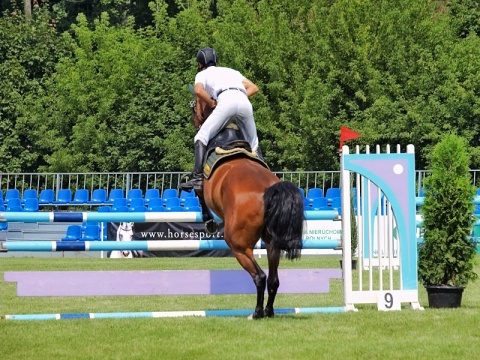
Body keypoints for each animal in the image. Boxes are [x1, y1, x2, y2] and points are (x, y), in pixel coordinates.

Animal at [186, 93, 306, 318]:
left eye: (195, 105)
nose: (195, 121)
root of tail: (269, 190)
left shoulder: (202, 190)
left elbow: (200, 196)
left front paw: (209, 223)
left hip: (239, 245)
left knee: (260, 276)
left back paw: (257, 313)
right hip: (272, 243)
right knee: (274, 279)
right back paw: (269, 311)